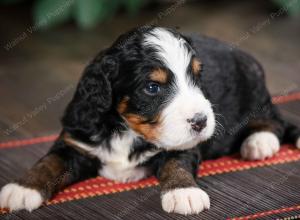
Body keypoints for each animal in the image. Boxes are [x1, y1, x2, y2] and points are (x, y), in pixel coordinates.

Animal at [0, 25, 300, 215]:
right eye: (152, 87)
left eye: (196, 77)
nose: (201, 121)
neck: (127, 128)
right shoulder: (76, 140)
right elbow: (49, 162)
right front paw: (22, 188)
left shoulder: (184, 146)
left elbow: (175, 164)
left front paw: (183, 191)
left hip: (254, 87)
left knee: (275, 120)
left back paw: (259, 143)